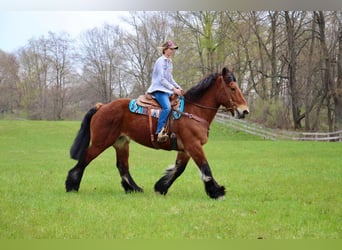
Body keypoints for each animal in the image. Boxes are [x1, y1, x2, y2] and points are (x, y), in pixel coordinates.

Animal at [65, 66, 248, 199]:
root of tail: (101, 107)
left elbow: (178, 169)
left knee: (122, 166)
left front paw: (161, 187)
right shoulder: (193, 145)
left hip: (121, 142)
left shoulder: (186, 149)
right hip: (101, 142)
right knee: (85, 159)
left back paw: (134, 189)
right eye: (232, 88)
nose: (244, 111)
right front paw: (217, 192)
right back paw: (71, 185)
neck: (193, 111)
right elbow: (205, 168)